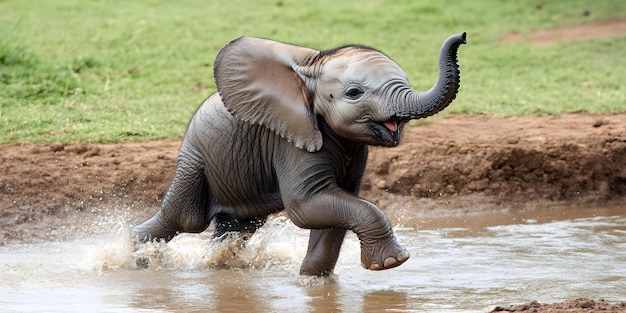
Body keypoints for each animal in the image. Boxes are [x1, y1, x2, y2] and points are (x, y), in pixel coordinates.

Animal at [132, 32, 464, 276]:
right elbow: (306, 207)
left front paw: (312, 280)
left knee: (236, 228)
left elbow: (338, 204)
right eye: (354, 93)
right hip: (196, 160)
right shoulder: (291, 142)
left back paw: (211, 266)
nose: (462, 36)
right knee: (186, 220)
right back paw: (141, 260)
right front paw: (391, 263)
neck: (310, 72)